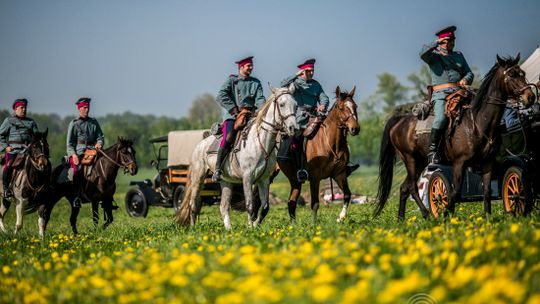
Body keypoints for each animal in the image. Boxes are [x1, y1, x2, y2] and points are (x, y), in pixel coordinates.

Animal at [175, 85, 298, 228]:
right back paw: (194, 227)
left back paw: (229, 229)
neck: (260, 142)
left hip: (226, 182)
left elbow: (265, 207)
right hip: (197, 178)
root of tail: (200, 145)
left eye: (296, 105)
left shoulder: (264, 180)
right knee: (193, 204)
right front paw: (250, 227)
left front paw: (255, 225)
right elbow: (250, 205)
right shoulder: (247, 178)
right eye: (282, 104)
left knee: (223, 206)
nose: (293, 128)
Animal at [278, 86, 358, 223]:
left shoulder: (339, 174)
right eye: (340, 108)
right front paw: (314, 224)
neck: (332, 144)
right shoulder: (315, 177)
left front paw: (340, 217)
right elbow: (315, 203)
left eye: (355, 106)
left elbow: (347, 194)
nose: (355, 129)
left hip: (295, 181)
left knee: (291, 202)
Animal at [376, 55, 536, 221]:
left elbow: (486, 192)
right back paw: (426, 214)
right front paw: (446, 214)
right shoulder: (459, 163)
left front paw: (487, 218)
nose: (530, 97)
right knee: (413, 187)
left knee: (404, 188)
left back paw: (402, 219)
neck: (476, 122)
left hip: (420, 162)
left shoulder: (487, 163)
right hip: (410, 160)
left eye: (523, 73)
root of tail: (400, 120)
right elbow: (454, 192)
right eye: (511, 75)